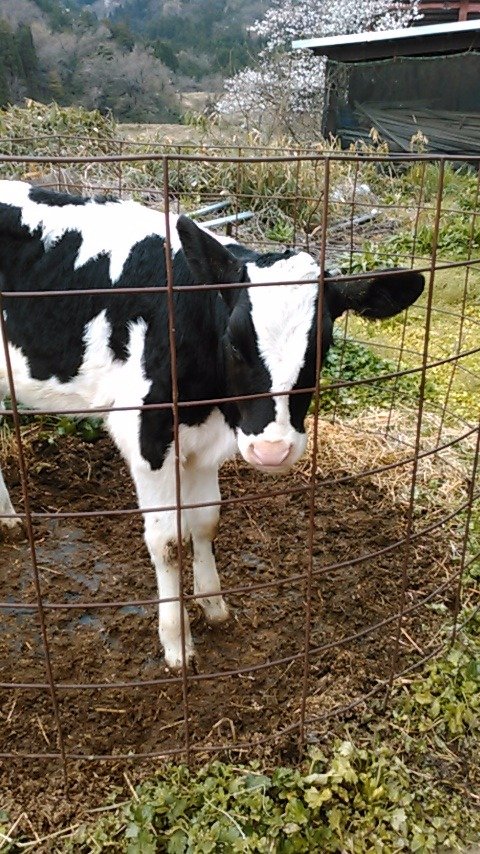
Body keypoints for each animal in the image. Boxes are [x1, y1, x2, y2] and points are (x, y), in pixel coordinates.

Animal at [0, 181, 424, 672]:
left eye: (323, 345)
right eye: (235, 342)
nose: (273, 450)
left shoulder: (204, 442)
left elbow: (205, 522)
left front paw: (214, 604)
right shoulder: (146, 434)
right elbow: (167, 541)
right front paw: (176, 642)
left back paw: (7, 518)